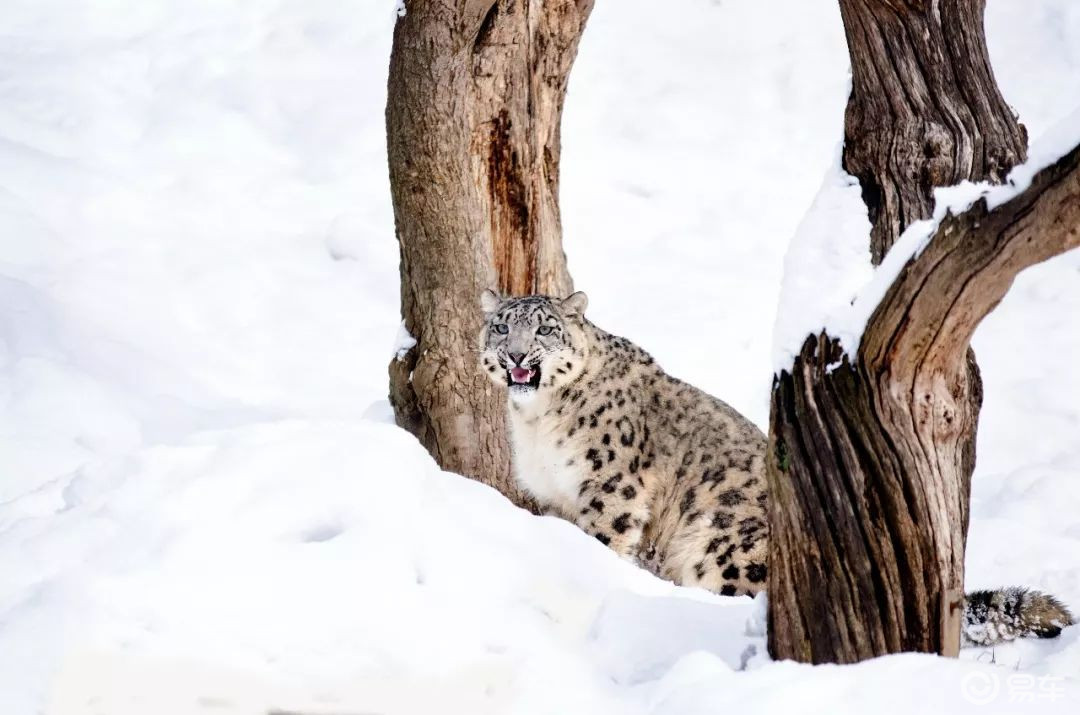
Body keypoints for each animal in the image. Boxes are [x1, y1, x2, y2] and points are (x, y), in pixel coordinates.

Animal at [479, 291, 1071, 648]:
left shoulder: (611, 489)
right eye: (502, 327)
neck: (537, 422)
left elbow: (600, 539)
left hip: (726, 544)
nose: (516, 357)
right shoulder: (552, 493)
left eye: (545, 330)